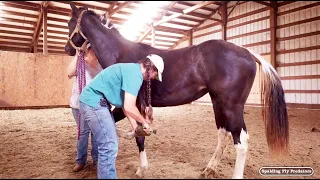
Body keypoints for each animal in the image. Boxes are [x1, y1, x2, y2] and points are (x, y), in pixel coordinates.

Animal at [63, 3, 288, 179]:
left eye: (69, 23)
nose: (67, 50)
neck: (122, 54)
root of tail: (246, 51)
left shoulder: (133, 104)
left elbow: (138, 136)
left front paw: (141, 169)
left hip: (232, 106)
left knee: (241, 142)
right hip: (218, 102)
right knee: (223, 134)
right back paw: (209, 169)